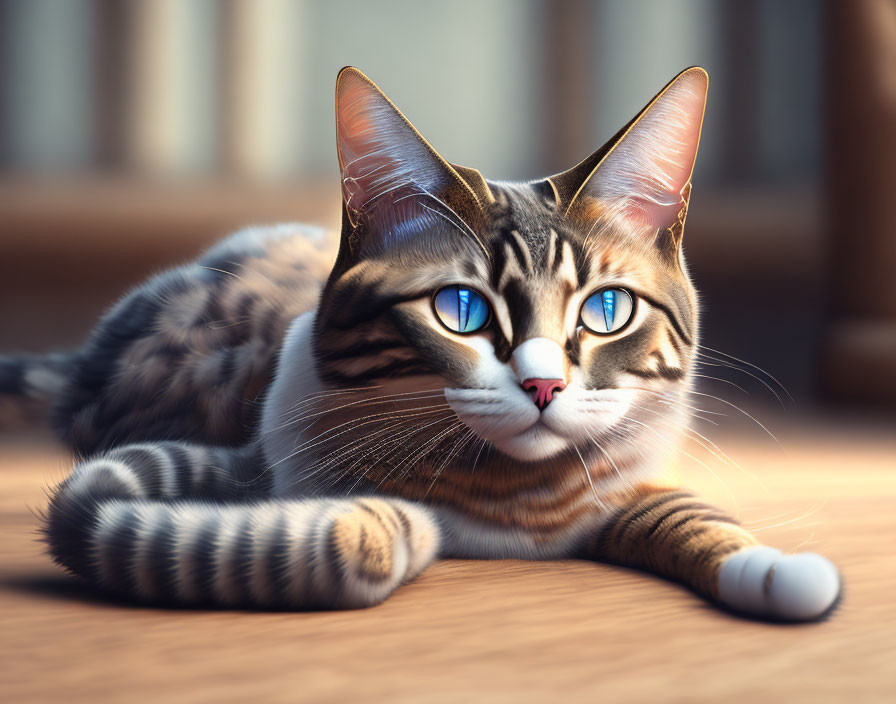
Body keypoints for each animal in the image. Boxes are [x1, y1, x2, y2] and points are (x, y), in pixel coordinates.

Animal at [1, 67, 840, 620]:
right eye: (461, 309)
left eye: (606, 309)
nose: (543, 387)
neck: (515, 505)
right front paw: (367, 531)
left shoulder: (623, 485)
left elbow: (688, 514)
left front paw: (775, 571)